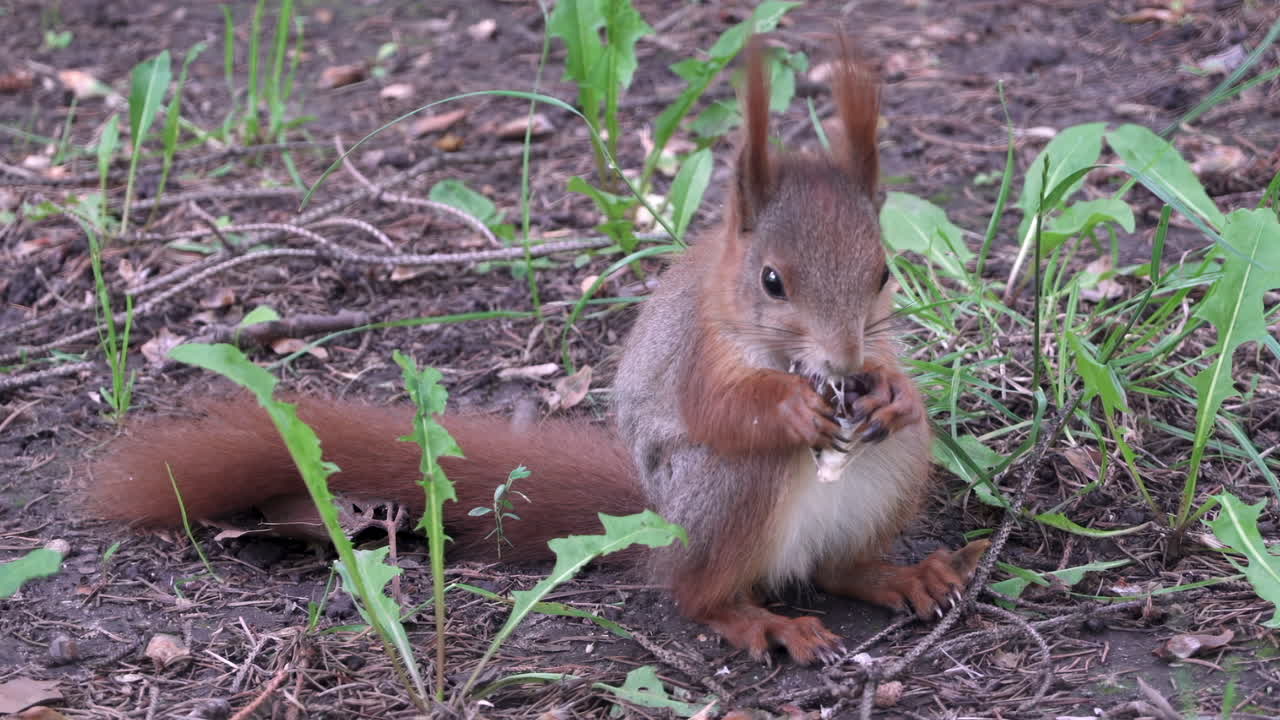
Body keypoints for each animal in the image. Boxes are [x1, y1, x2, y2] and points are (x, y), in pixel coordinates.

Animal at [88, 37, 989, 665]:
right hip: (726, 496)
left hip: (896, 470)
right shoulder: (700, 350)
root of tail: (656, 523)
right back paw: (758, 621)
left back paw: (899, 573)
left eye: (884, 272)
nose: (844, 364)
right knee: (694, 591)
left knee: (838, 566)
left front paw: (894, 390)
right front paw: (792, 408)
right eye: (771, 281)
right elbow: (716, 408)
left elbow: (899, 385)